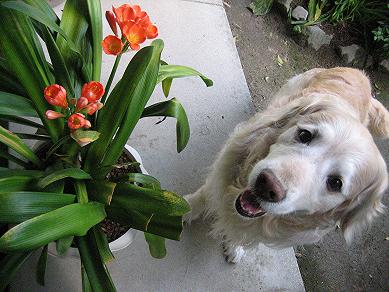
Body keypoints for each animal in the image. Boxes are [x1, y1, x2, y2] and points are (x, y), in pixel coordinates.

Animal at [184, 68, 388, 262]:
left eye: (336, 183)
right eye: (305, 135)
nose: (267, 185)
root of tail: (363, 77)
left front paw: (235, 247)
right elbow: (205, 193)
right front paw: (187, 207)